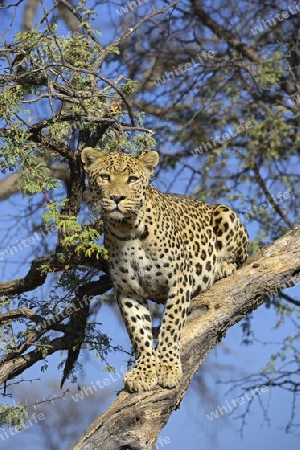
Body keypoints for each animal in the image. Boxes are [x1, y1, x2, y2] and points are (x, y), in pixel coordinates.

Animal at [81, 147, 247, 390]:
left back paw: (223, 266)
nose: (117, 198)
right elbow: (138, 331)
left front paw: (168, 367)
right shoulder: (128, 290)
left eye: (132, 179)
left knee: (241, 258)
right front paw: (144, 371)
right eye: (105, 177)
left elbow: (171, 323)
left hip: (224, 212)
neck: (127, 229)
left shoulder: (179, 281)